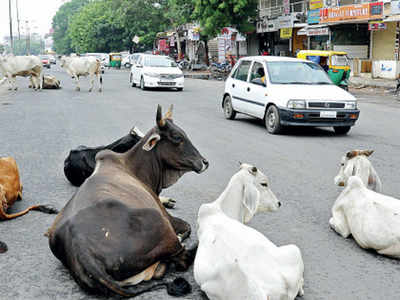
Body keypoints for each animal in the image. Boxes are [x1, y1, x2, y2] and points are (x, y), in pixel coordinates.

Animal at [47, 104, 209, 296]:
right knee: (182, 258)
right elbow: (187, 227)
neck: (134, 168)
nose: (204, 162)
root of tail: (82, 249)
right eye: (177, 137)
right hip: (161, 224)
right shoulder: (167, 216)